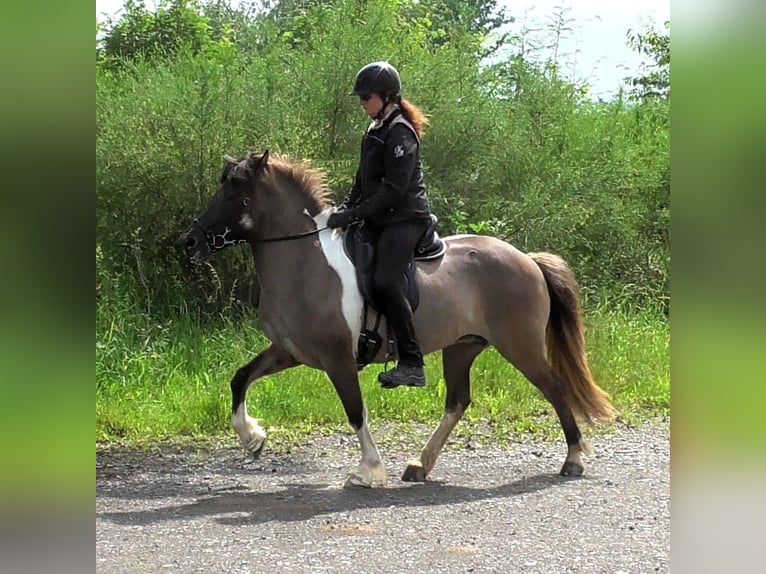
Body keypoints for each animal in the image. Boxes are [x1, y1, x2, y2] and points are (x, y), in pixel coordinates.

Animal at [182, 150, 616, 488]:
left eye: (236, 191)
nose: (190, 241)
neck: (305, 262)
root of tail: (527, 259)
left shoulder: (337, 359)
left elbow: (355, 410)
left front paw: (369, 471)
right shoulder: (289, 351)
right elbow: (241, 378)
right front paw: (253, 439)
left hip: (520, 345)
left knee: (554, 387)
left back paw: (574, 459)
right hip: (462, 347)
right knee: (458, 402)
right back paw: (420, 465)